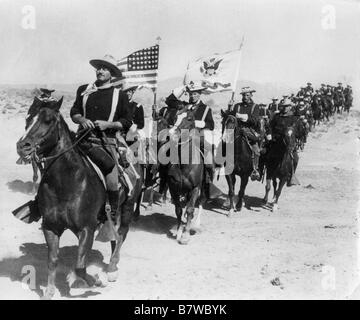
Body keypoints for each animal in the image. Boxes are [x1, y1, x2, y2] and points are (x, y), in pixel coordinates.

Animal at [15, 98, 142, 300]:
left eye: (48, 120)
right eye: (28, 119)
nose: (22, 146)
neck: (66, 182)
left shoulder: (86, 229)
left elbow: (80, 268)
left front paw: (97, 281)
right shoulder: (50, 227)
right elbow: (52, 260)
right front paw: (49, 291)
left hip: (128, 206)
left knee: (122, 233)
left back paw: (112, 269)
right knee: (114, 235)